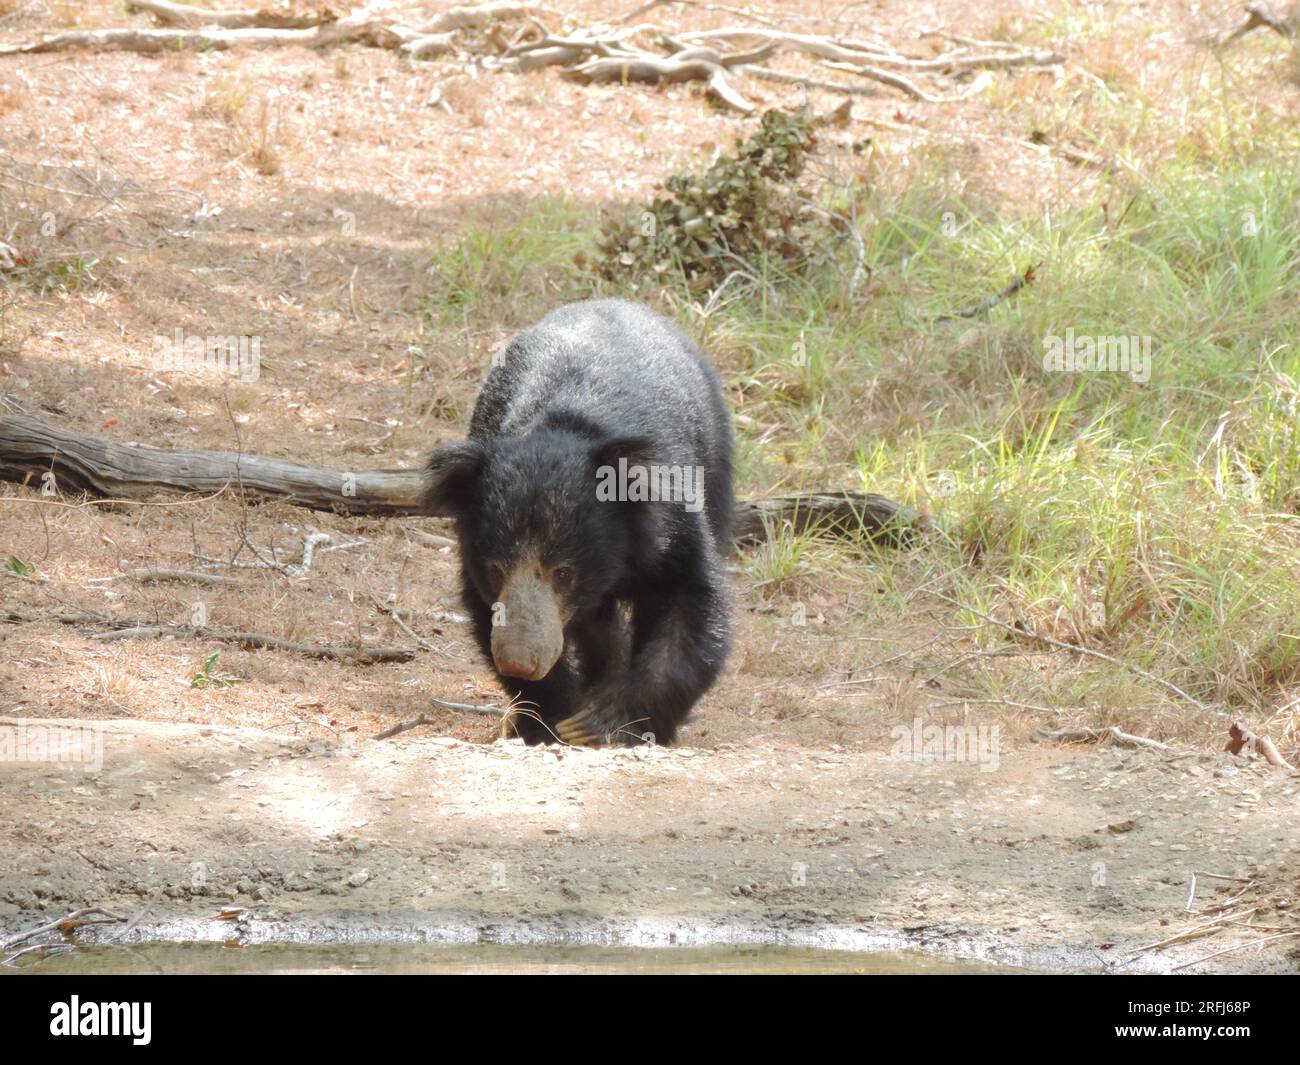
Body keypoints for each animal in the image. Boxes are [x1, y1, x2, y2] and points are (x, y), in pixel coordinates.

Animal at [424, 298, 733, 747]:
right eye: (496, 569)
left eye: (564, 572)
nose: (520, 662)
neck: (565, 426)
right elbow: (485, 610)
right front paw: (555, 717)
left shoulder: (671, 518)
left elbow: (691, 602)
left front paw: (601, 723)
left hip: (716, 460)